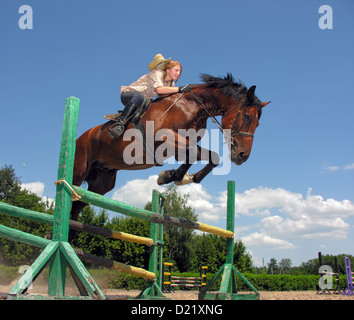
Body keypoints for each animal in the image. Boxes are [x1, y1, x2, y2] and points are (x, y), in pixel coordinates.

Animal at [72, 74, 272, 221]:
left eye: (258, 124)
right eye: (246, 116)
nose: (242, 156)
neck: (193, 105)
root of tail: (80, 137)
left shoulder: (181, 145)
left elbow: (207, 156)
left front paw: (177, 177)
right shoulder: (166, 138)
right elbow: (195, 153)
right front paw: (171, 176)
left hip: (102, 183)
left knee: (76, 207)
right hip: (79, 170)